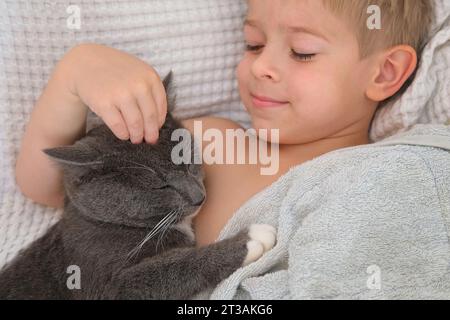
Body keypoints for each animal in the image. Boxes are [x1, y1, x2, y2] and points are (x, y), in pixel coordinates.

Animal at [0, 72, 274, 300]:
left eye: (187, 162)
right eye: (160, 186)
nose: (199, 197)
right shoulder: (106, 284)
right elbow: (172, 268)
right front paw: (249, 240)